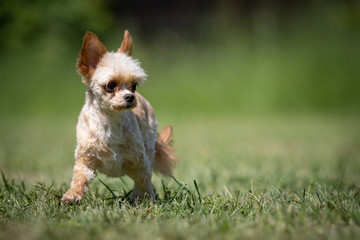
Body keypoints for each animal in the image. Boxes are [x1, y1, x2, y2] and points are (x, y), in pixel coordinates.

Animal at [63, 29, 179, 202]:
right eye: (111, 85)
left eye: (134, 85)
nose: (130, 97)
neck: (110, 122)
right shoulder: (86, 159)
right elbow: (80, 178)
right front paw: (72, 194)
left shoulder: (140, 163)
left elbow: (144, 183)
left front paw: (147, 201)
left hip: (149, 145)